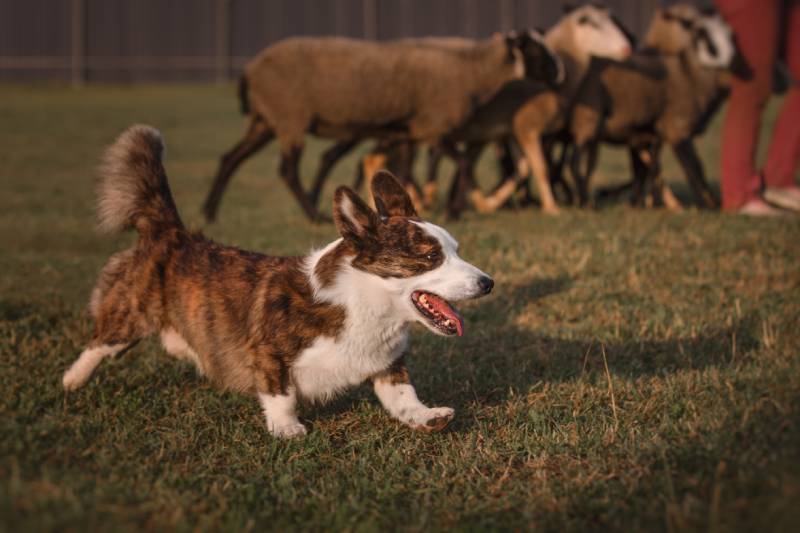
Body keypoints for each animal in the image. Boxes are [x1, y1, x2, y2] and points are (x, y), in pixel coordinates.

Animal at [65, 124, 494, 436]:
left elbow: (403, 396)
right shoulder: (269, 354)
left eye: (457, 250)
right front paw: (287, 430)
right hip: (129, 315)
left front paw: (428, 417)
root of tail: (172, 233)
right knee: (100, 343)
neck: (366, 304)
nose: (488, 283)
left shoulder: (387, 365)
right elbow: (281, 393)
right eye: (430, 257)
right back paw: (71, 381)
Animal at [203, 31, 560, 222]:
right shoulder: (433, 126)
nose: (561, 74)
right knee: (288, 170)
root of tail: (250, 69)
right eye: (535, 49)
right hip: (290, 116)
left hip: (266, 119)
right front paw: (455, 209)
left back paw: (209, 212)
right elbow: (461, 163)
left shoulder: (413, 132)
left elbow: (411, 170)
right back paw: (314, 214)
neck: (471, 71)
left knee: (230, 159)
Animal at [568, 3, 752, 208]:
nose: (732, 59)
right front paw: (705, 204)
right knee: (574, 163)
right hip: (586, 121)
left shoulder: (646, 134)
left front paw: (642, 201)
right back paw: (584, 200)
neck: (687, 73)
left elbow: (648, 168)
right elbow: (692, 167)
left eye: (730, 34)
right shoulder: (676, 128)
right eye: (702, 34)